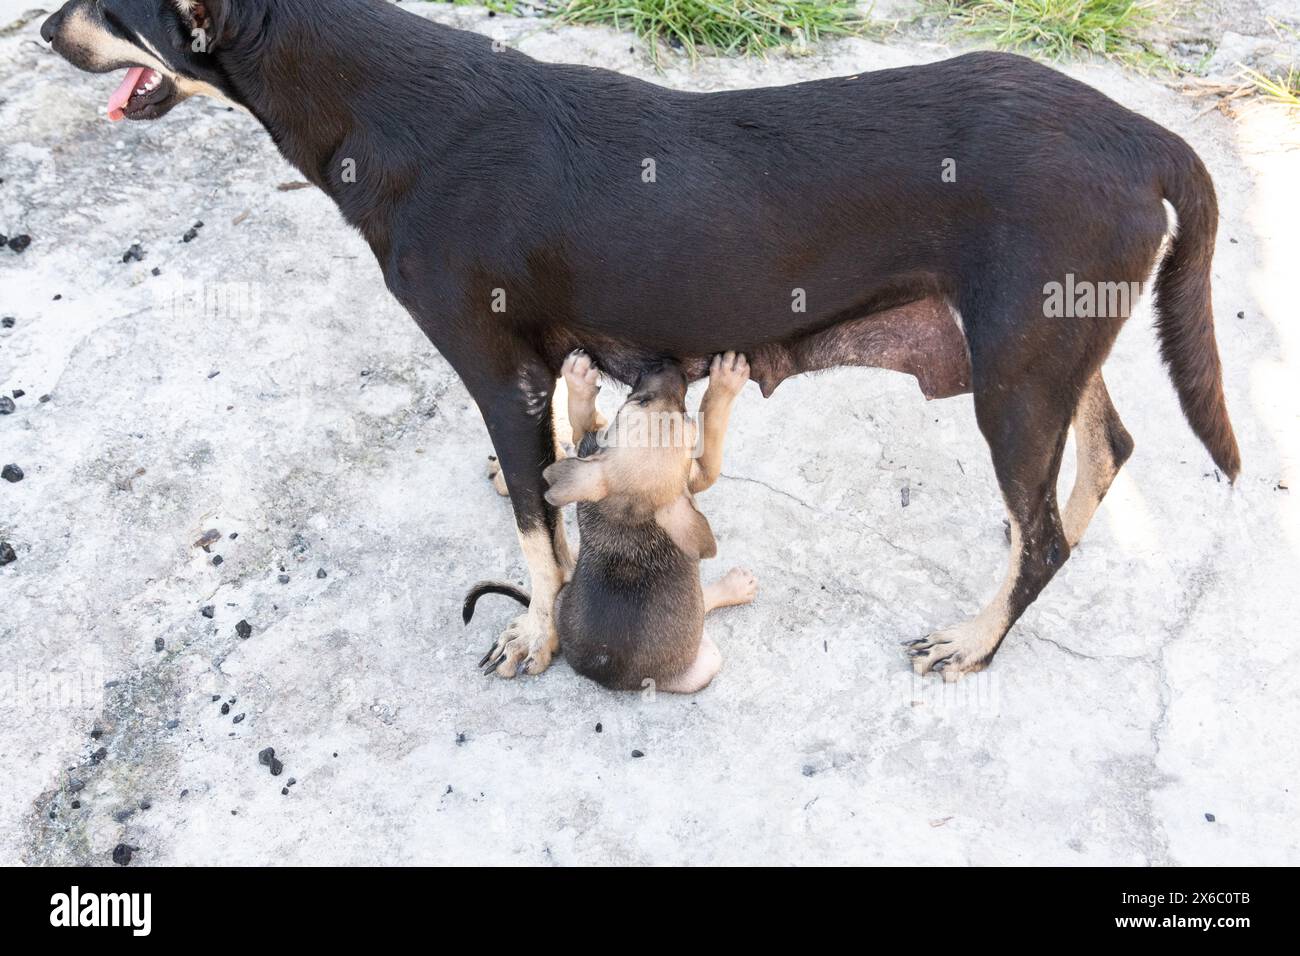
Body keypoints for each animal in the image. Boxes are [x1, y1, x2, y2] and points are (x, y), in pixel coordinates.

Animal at [467, 351, 759, 697]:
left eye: (683, 412)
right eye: (641, 401)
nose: (672, 366)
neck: (630, 510)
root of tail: (626, 681)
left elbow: (584, 421)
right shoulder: (689, 473)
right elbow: (711, 423)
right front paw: (726, 380)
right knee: (705, 602)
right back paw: (736, 585)